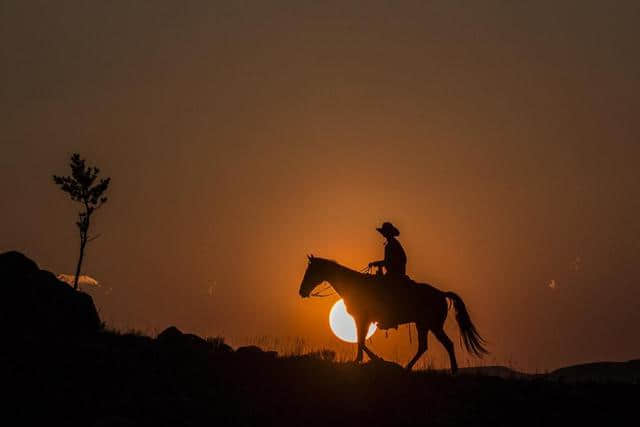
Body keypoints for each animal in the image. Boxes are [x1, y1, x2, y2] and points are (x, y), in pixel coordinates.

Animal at [298, 256, 488, 372]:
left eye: (310, 271)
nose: (301, 292)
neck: (354, 285)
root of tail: (441, 293)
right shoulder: (362, 320)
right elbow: (361, 340)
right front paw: (362, 360)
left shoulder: (362, 319)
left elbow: (361, 341)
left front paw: (371, 359)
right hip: (423, 325)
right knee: (424, 347)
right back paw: (408, 368)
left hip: (433, 325)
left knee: (447, 344)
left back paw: (452, 371)